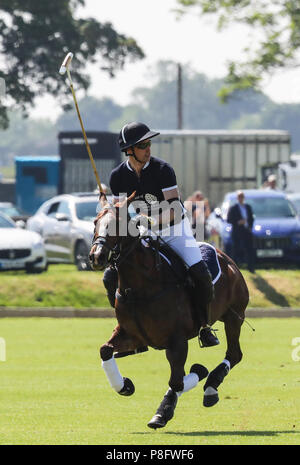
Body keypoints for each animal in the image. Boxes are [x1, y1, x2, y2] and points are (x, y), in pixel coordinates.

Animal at [89, 194, 248, 430]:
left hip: (234, 316)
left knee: (234, 354)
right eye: (95, 222)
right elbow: (105, 350)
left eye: (118, 224)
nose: (97, 256)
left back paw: (211, 385)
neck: (139, 287)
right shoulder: (132, 334)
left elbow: (177, 381)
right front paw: (124, 385)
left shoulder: (176, 340)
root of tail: (225, 256)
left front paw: (162, 413)